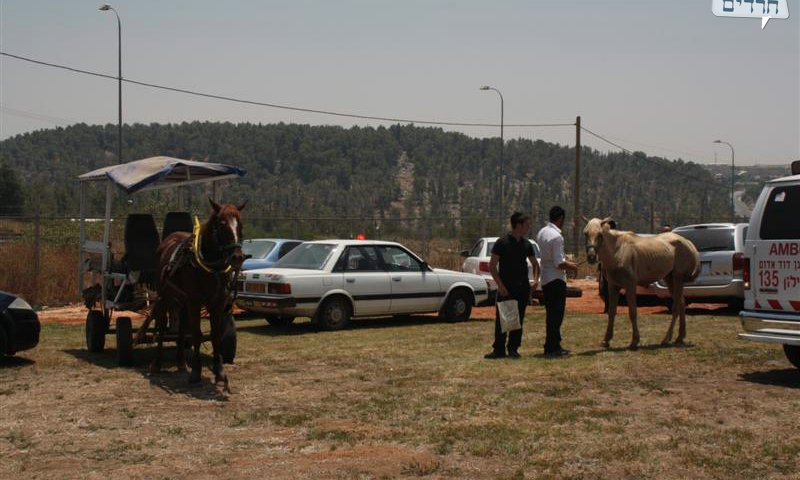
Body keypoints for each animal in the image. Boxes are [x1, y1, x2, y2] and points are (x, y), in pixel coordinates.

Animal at [152, 199, 245, 390]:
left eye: (240, 224)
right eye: (222, 224)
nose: (237, 257)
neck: (210, 267)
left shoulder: (217, 303)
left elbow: (215, 335)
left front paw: (219, 372)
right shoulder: (195, 301)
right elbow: (197, 334)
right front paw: (196, 372)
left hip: (182, 300)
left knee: (181, 327)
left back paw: (181, 362)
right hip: (165, 296)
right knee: (162, 326)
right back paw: (157, 364)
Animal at [580, 218, 700, 348]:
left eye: (600, 234)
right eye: (585, 233)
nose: (591, 257)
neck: (617, 251)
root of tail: (689, 243)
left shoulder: (630, 285)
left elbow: (632, 312)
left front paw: (635, 341)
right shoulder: (613, 286)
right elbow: (611, 312)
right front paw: (606, 340)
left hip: (678, 278)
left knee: (676, 306)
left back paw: (666, 339)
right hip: (670, 279)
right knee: (682, 303)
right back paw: (680, 337)